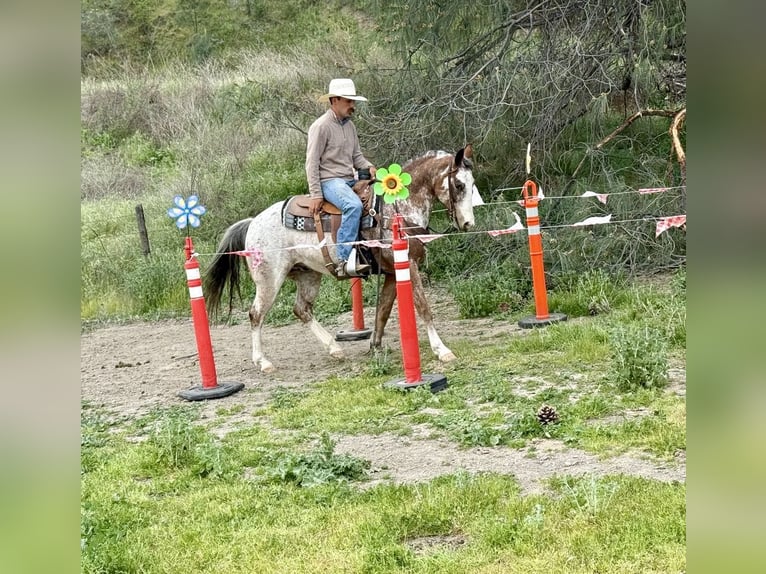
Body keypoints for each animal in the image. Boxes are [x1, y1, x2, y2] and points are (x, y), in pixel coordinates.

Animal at [205, 145, 477, 373]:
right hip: (269, 280)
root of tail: (253, 222)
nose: (468, 224)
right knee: (256, 314)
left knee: (301, 310)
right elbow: (423, 308)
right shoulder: (408, 266)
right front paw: (442, 350)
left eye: (472, 184)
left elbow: (383, 310)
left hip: (307, 275)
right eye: (459, 185)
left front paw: (375, 347)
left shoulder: (391, 273)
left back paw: (334, 349)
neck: (397, 209)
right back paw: (263, 362)